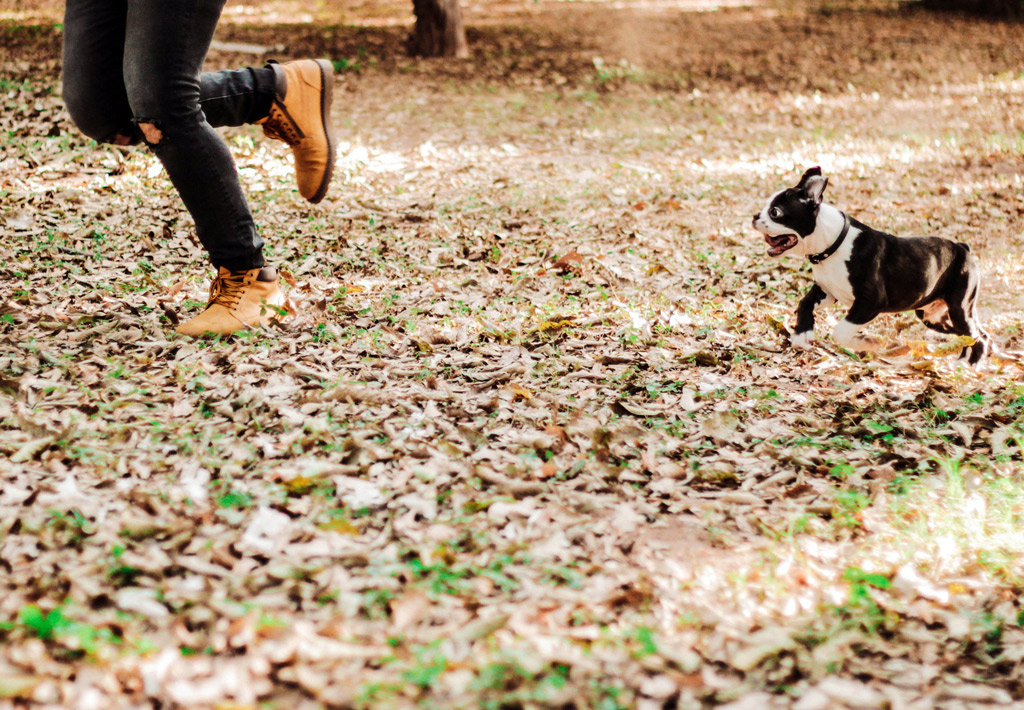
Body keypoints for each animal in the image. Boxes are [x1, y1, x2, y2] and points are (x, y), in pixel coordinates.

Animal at [753, 168, 991, 364]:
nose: (755, 215)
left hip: (959, 308)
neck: (833, 245)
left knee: (976, 336)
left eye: (775, 212)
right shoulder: (827, 292)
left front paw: (867, 343)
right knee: (972, 334)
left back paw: (969, 364)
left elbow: (841, 332)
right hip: (931, 316)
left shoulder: (870, 302)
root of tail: (962, 248)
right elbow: (804, 303)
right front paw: (803, 334)